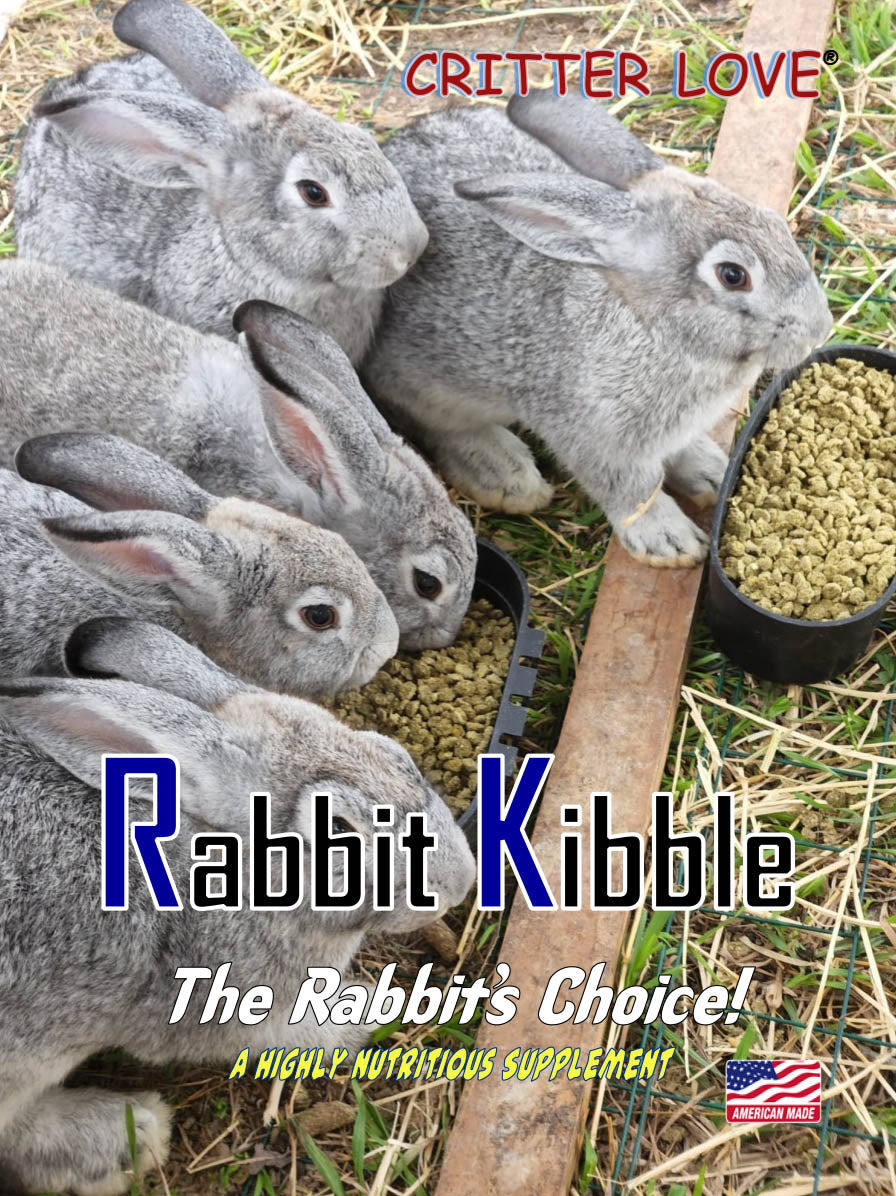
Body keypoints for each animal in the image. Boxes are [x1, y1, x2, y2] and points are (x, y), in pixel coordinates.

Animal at [0, 616, 476, 1195]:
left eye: (398, 755)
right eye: (338, 830)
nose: (461, 881)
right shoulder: (233, 1007)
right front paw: (376, 1011)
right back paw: (125, 1137)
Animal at [363, 92, 834, 567]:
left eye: (776, 225)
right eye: (733, 275)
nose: (820, 329)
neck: (651, 325)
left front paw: (713, 475)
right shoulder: (598, 442)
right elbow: (633, 492)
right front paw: (671, 544)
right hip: (424, 386)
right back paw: (506, 476)